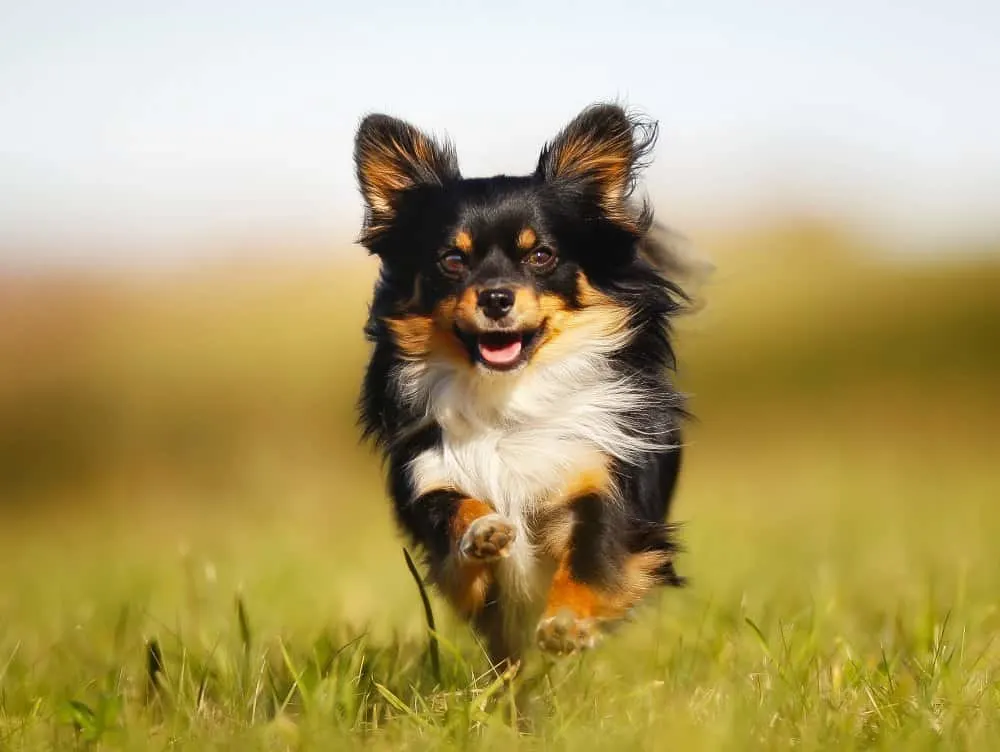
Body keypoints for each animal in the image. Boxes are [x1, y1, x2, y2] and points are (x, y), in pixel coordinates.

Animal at [356, 103, 700, 668]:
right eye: (452, 261)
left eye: (540, 256)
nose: (496, 297)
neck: (508, 401)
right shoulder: (432, 478)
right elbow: (457, 518)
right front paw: (482, 530)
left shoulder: (601, 482)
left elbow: (593, 558)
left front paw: (566, 623)